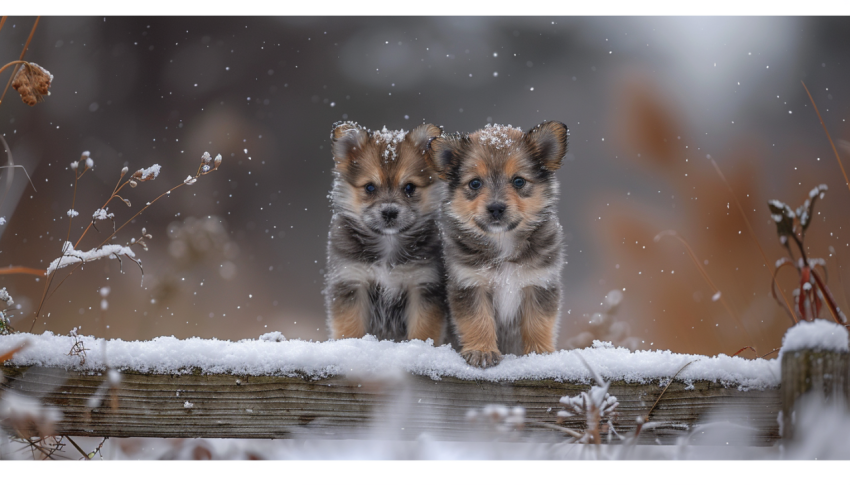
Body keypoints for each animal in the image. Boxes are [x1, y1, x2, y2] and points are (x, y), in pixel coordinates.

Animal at [322, 121, 450, 344]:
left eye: (409, 187)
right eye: (370, 187)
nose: (389, 212)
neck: (388, 243)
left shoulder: (424, 284)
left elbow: (424, 330)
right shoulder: (351, 280)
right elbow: (350, 327)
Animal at [428, 121, 568, 366]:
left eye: (519, 181)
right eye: (475, 183)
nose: (495, 208)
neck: (503, 243)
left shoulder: (540, 282)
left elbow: (538, 323)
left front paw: (539, 353)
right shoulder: (470, 283)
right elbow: (478, 320)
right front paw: (481, 351)